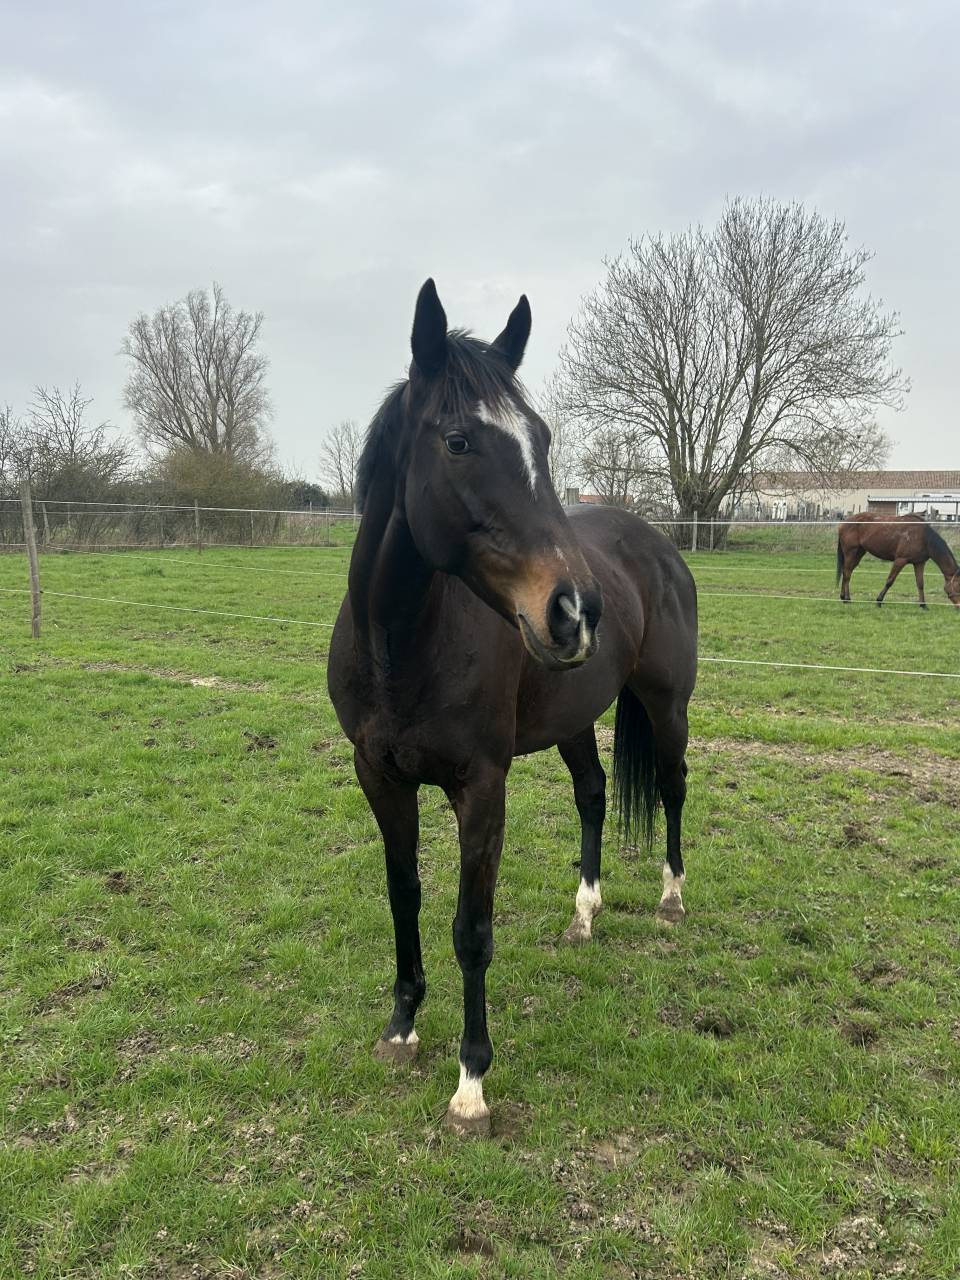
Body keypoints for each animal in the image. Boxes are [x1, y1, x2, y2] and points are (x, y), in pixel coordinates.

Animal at [327, 280, 698, 1135]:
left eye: (542, 439)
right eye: (459, 441)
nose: (576, 612)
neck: (402, 644)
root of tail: (655, 543)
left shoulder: (481, 787)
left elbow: (472, 929)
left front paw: (471, 1084)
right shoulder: (380, 777)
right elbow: (403, 895)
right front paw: (402, 1028)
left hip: (666, 706)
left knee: (671, 788)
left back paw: (669, 898)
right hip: (574, 720)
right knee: (594, 794)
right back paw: (585, 915)